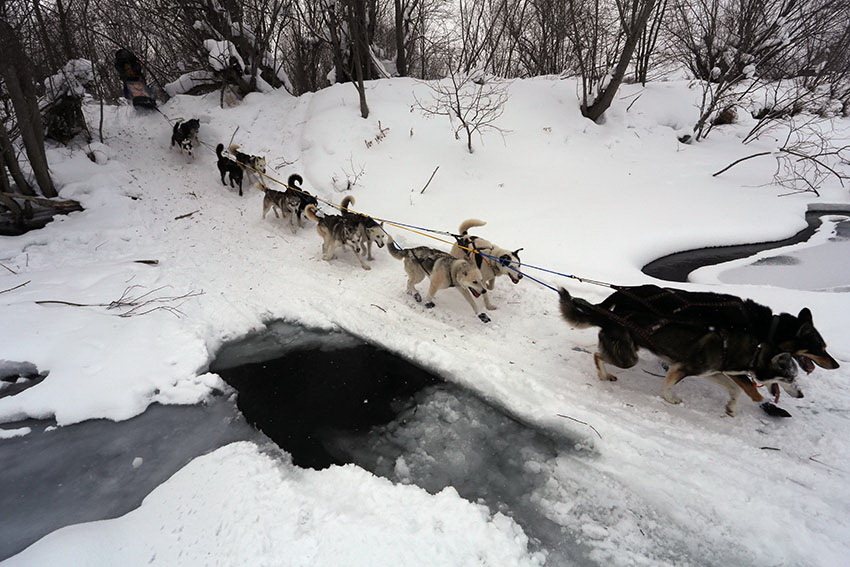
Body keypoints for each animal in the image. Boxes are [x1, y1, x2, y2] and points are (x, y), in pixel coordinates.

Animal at [560, 286, 840, 414]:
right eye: (820, 347)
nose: (836, 364)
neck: (765, 328)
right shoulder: (693, 367)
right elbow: (750, 388)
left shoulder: (716, 371)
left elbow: (735, 389)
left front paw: (733, 405)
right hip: (628, 356)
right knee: (599, 355)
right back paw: (604, 373)